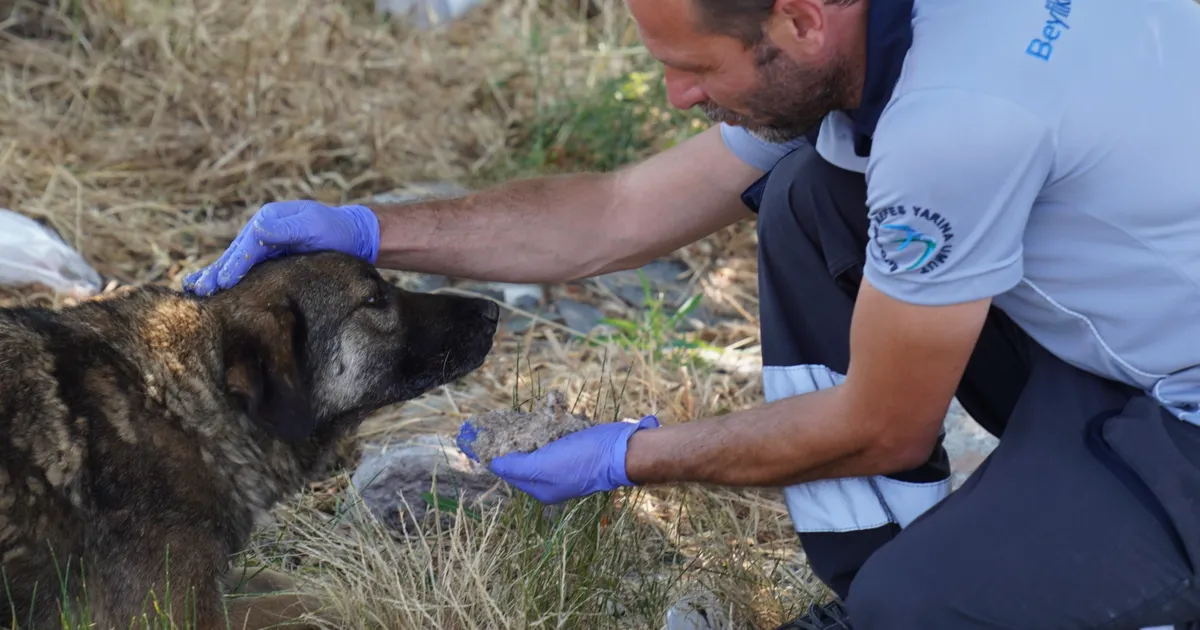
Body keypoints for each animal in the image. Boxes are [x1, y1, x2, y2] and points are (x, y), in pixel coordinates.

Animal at [0, 248, 499, 624]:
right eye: (374, 299)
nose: (492, 311)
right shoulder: (174, 616)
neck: (177, 403)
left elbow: (297, 586)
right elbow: (315, 603)